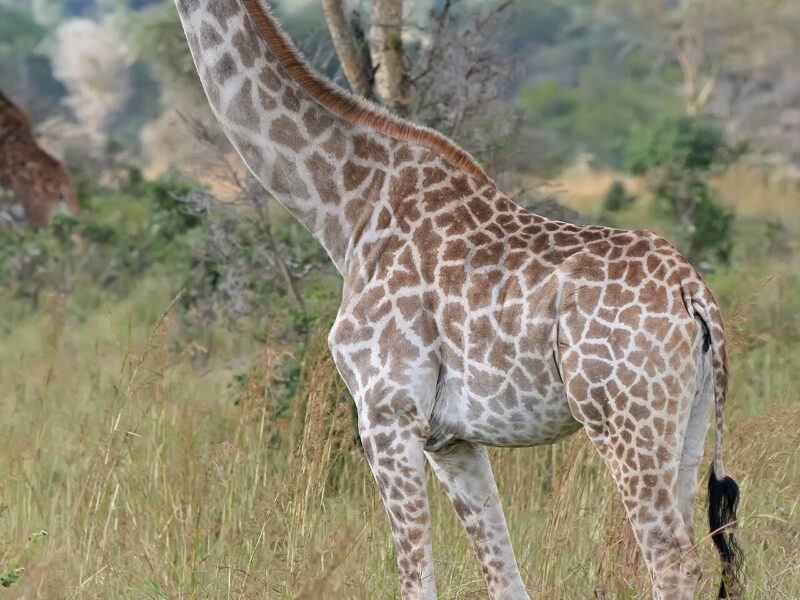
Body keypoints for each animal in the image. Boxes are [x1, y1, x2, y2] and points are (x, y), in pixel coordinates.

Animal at [174, 1, 743, 598]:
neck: (346, 212)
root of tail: (693, 293)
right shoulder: (450, 438)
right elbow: (506, 579)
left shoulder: (386, 413)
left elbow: (415, 579)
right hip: (687, 421)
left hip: (622, 417)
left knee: (672, 560)